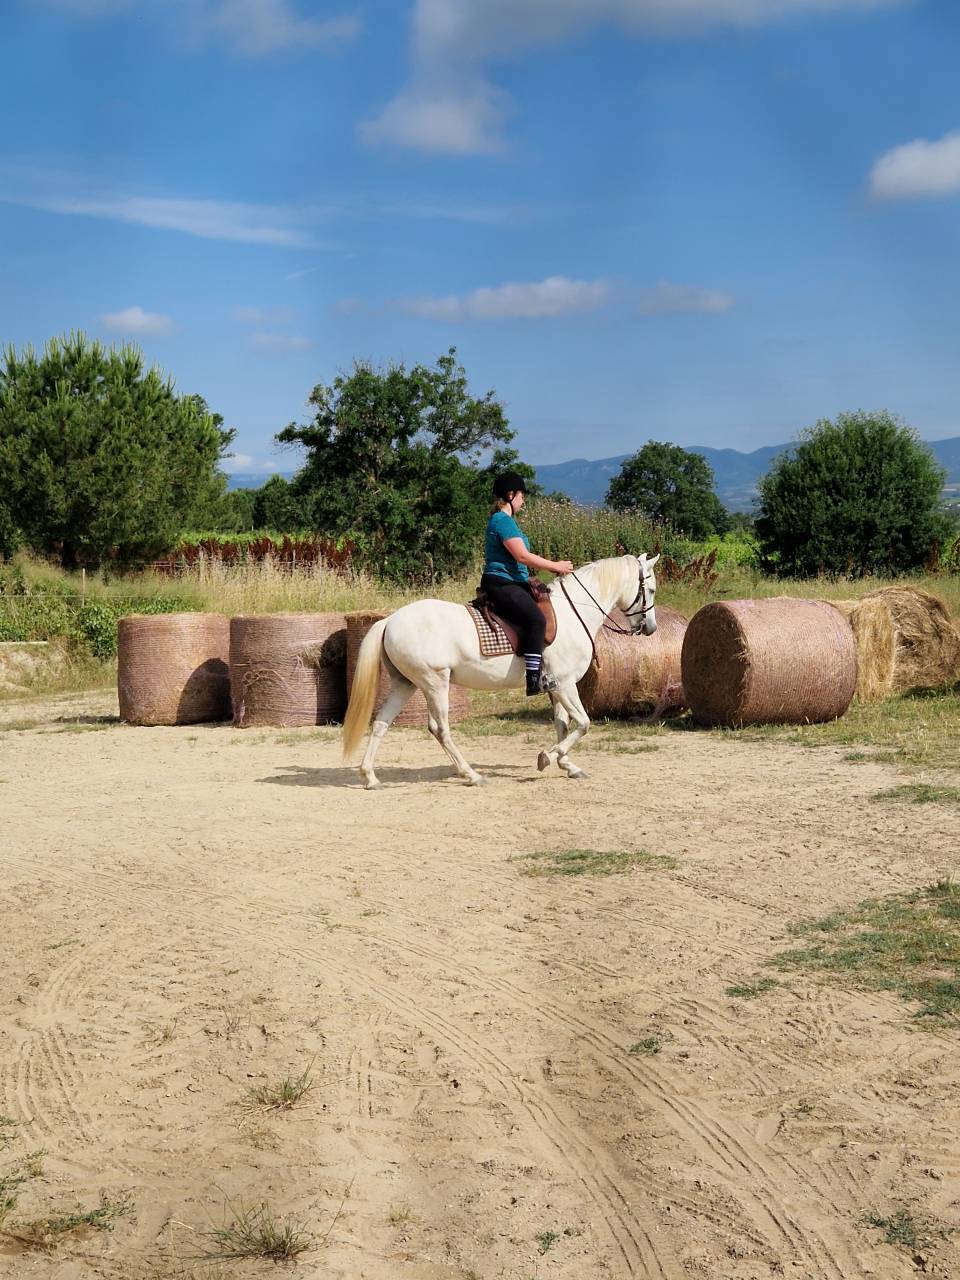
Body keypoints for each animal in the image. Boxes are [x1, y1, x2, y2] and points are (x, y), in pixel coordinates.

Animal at [342, 553, 659, 789]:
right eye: (651, 589)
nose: (651, 628)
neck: (573, 613)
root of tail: (391, 619)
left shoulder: (556, 686)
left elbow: (563, 725)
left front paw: (567, 764)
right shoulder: (565, 684)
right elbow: (583, 723)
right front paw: (547, 757)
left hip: (405, 684)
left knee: (381, 723)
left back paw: (370, 776)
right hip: (434, 682)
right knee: (439, 728)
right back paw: (471, 775)